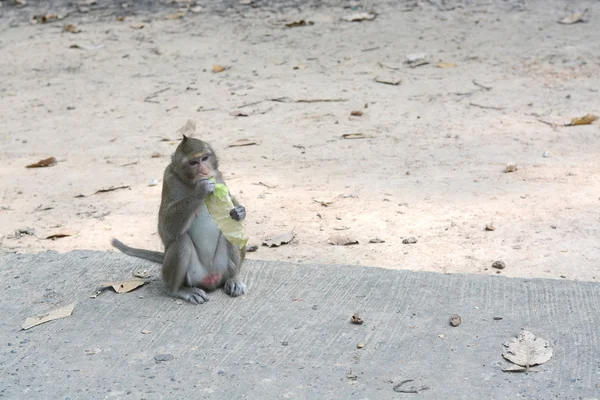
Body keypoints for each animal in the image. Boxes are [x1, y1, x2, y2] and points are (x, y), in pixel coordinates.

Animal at [111, 134, 245, 304]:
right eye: (193, 163)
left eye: (205, 158)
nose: (204, 171)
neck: (190, 182)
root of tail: (211, 279)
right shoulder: (169, 180)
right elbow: (166, 227)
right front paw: (200, 191)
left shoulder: (218, 176)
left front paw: (240, 211)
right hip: (192, 276)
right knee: (181, 241)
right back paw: (178, 290)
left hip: (221, 269)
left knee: (229, 232)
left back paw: (233, 279)